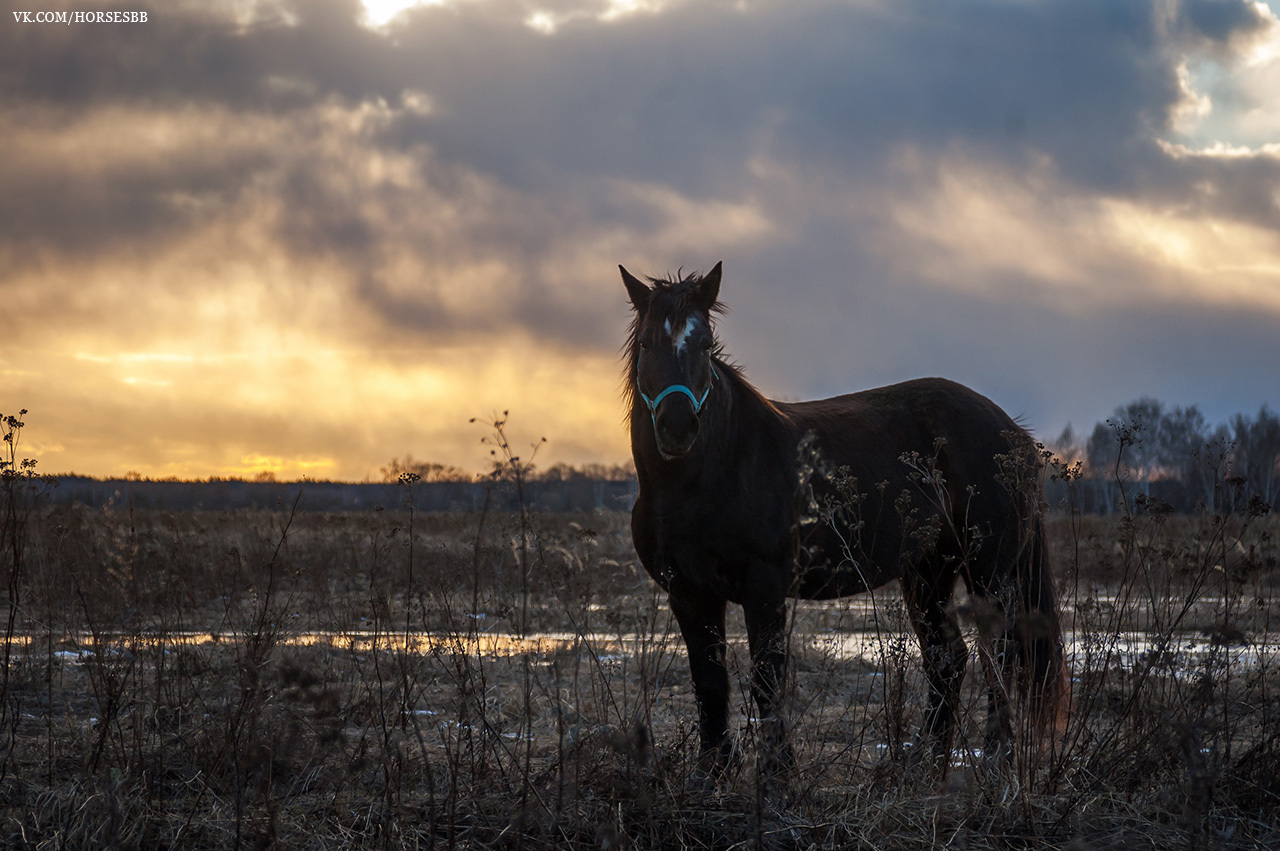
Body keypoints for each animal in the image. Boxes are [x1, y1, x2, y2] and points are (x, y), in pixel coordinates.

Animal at [622, 262, 1070, 778]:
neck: (715, 471)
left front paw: (777, 775)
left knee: (998, 655)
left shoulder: (764, 588)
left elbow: (767, 680)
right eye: (646, 344)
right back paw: (923, 764)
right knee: (948, 659)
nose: (677, 428)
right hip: (928, 573)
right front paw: (709, 775)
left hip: (988, 570)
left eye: (705, 344)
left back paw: (996, 760)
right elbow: (709, 684)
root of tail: (1016, 436)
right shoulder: (689, 594)